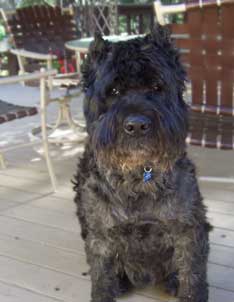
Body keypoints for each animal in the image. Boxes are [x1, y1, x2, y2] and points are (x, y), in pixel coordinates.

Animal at [73, 24, 210, 302]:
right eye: (113, 91)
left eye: (157, 87)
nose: (136, 125)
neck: (138, 175)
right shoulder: (100, 235)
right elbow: (101, 277)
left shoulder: (188, 230)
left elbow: (192, 275)